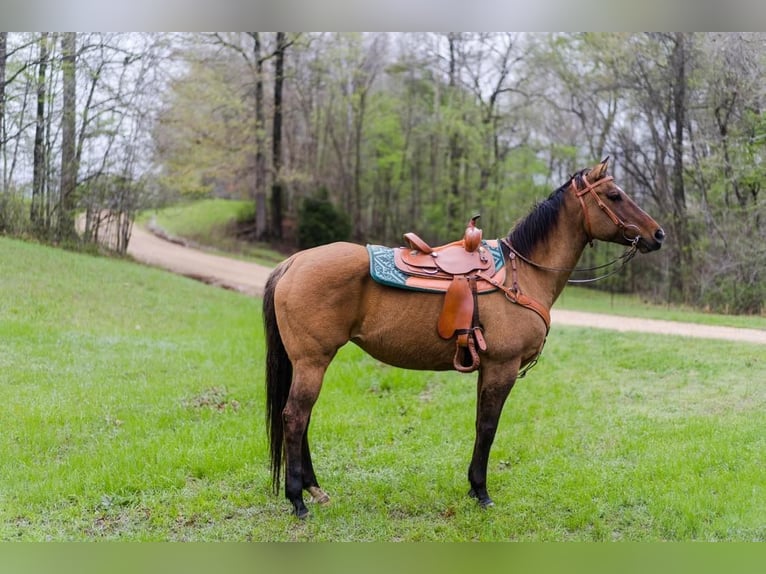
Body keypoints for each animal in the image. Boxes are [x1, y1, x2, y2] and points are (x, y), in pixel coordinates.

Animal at [264, 159, 664, 520]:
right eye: (614, 195)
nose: (658, 234)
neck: (524, 274)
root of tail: (292, 263)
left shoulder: (488, 367)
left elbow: (479, 424)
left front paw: (474, 487)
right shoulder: (502, 367)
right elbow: (488, 427)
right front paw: (482, 492)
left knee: (301, 419)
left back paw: (314, 490)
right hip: (313, 361)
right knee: (295, 417)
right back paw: (298, 499)